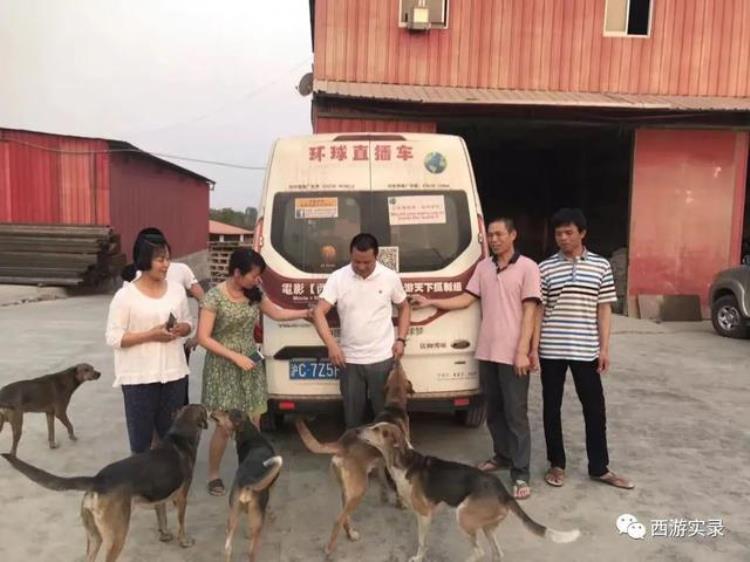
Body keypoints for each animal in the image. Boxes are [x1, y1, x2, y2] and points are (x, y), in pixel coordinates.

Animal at [2, 402, 210, 560]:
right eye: (204, 408)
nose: (211, 407)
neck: (179, 435)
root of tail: (98, 480)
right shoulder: (181, 498)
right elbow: (181, 524)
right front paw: (184, 541)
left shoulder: (160, 498)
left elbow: (162, 517)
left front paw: (165, 534)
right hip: (116, 535)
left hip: (94, 537)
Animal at [214, 406, 284, 560]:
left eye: (227, 412)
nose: (213, 412)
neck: (251, 435)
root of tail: (248, 482)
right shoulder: (272, 485)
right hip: (257, 521)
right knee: (251, 552)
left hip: (233, 512)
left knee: (228, 548)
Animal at [294, 360, 414, 552]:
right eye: (399, 370)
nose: (396, 360)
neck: (394, 404)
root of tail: (341, 445)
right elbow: (396, 485)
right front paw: (400, 502)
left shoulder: (381, 463)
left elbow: (383, 481)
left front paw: (384, 497)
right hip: (359, 489)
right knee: (338, 520)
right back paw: (329, 549)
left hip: (347, 489)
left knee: (345, 518)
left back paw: (351, 534)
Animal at [362, 420, 584, 560]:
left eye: (377, 429)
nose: (357, 430)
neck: (405, 462)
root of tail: (504, 493)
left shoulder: (424, 515)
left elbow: (421, 542)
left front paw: (418, 557)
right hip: (487, 526)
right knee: (497, 553)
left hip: (463, 516)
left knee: (479, 553)